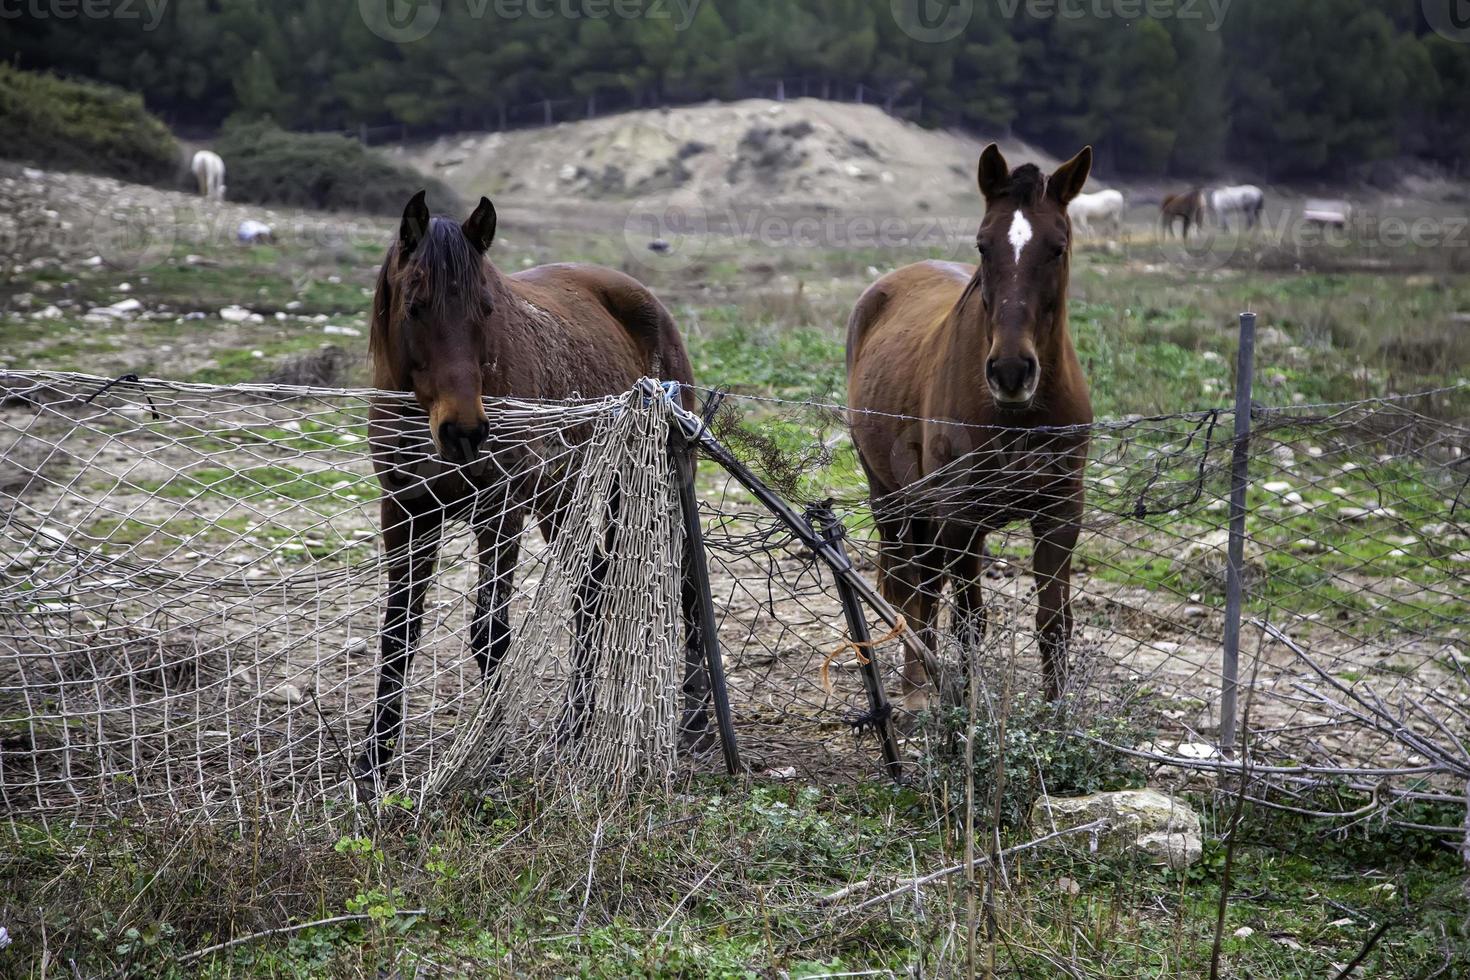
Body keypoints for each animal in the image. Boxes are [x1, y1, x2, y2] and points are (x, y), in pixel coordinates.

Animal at [354, 188, 699, 775]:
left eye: (487, 309)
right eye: (415, 305)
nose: (465, 431)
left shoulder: (500, 513)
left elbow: (490, 633)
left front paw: (487, 745)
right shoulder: (405, 512)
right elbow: (399, 631)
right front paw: (377, 756)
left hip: (647, 485)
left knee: (686, 591)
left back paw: (690, 723)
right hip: (565, 500)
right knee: (591, 591)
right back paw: (573, 725)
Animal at [852, 143, 1093, 705]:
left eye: (1058, 247)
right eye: (984, 245)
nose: (1010, 372)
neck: (1022, 416)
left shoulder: (1060, 514)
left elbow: (1054, 623)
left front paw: (1057, 716)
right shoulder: (959, 516)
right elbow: (968, 619)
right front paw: (966, 709)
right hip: (891, 498)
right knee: (914, 589)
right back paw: (917, 689)